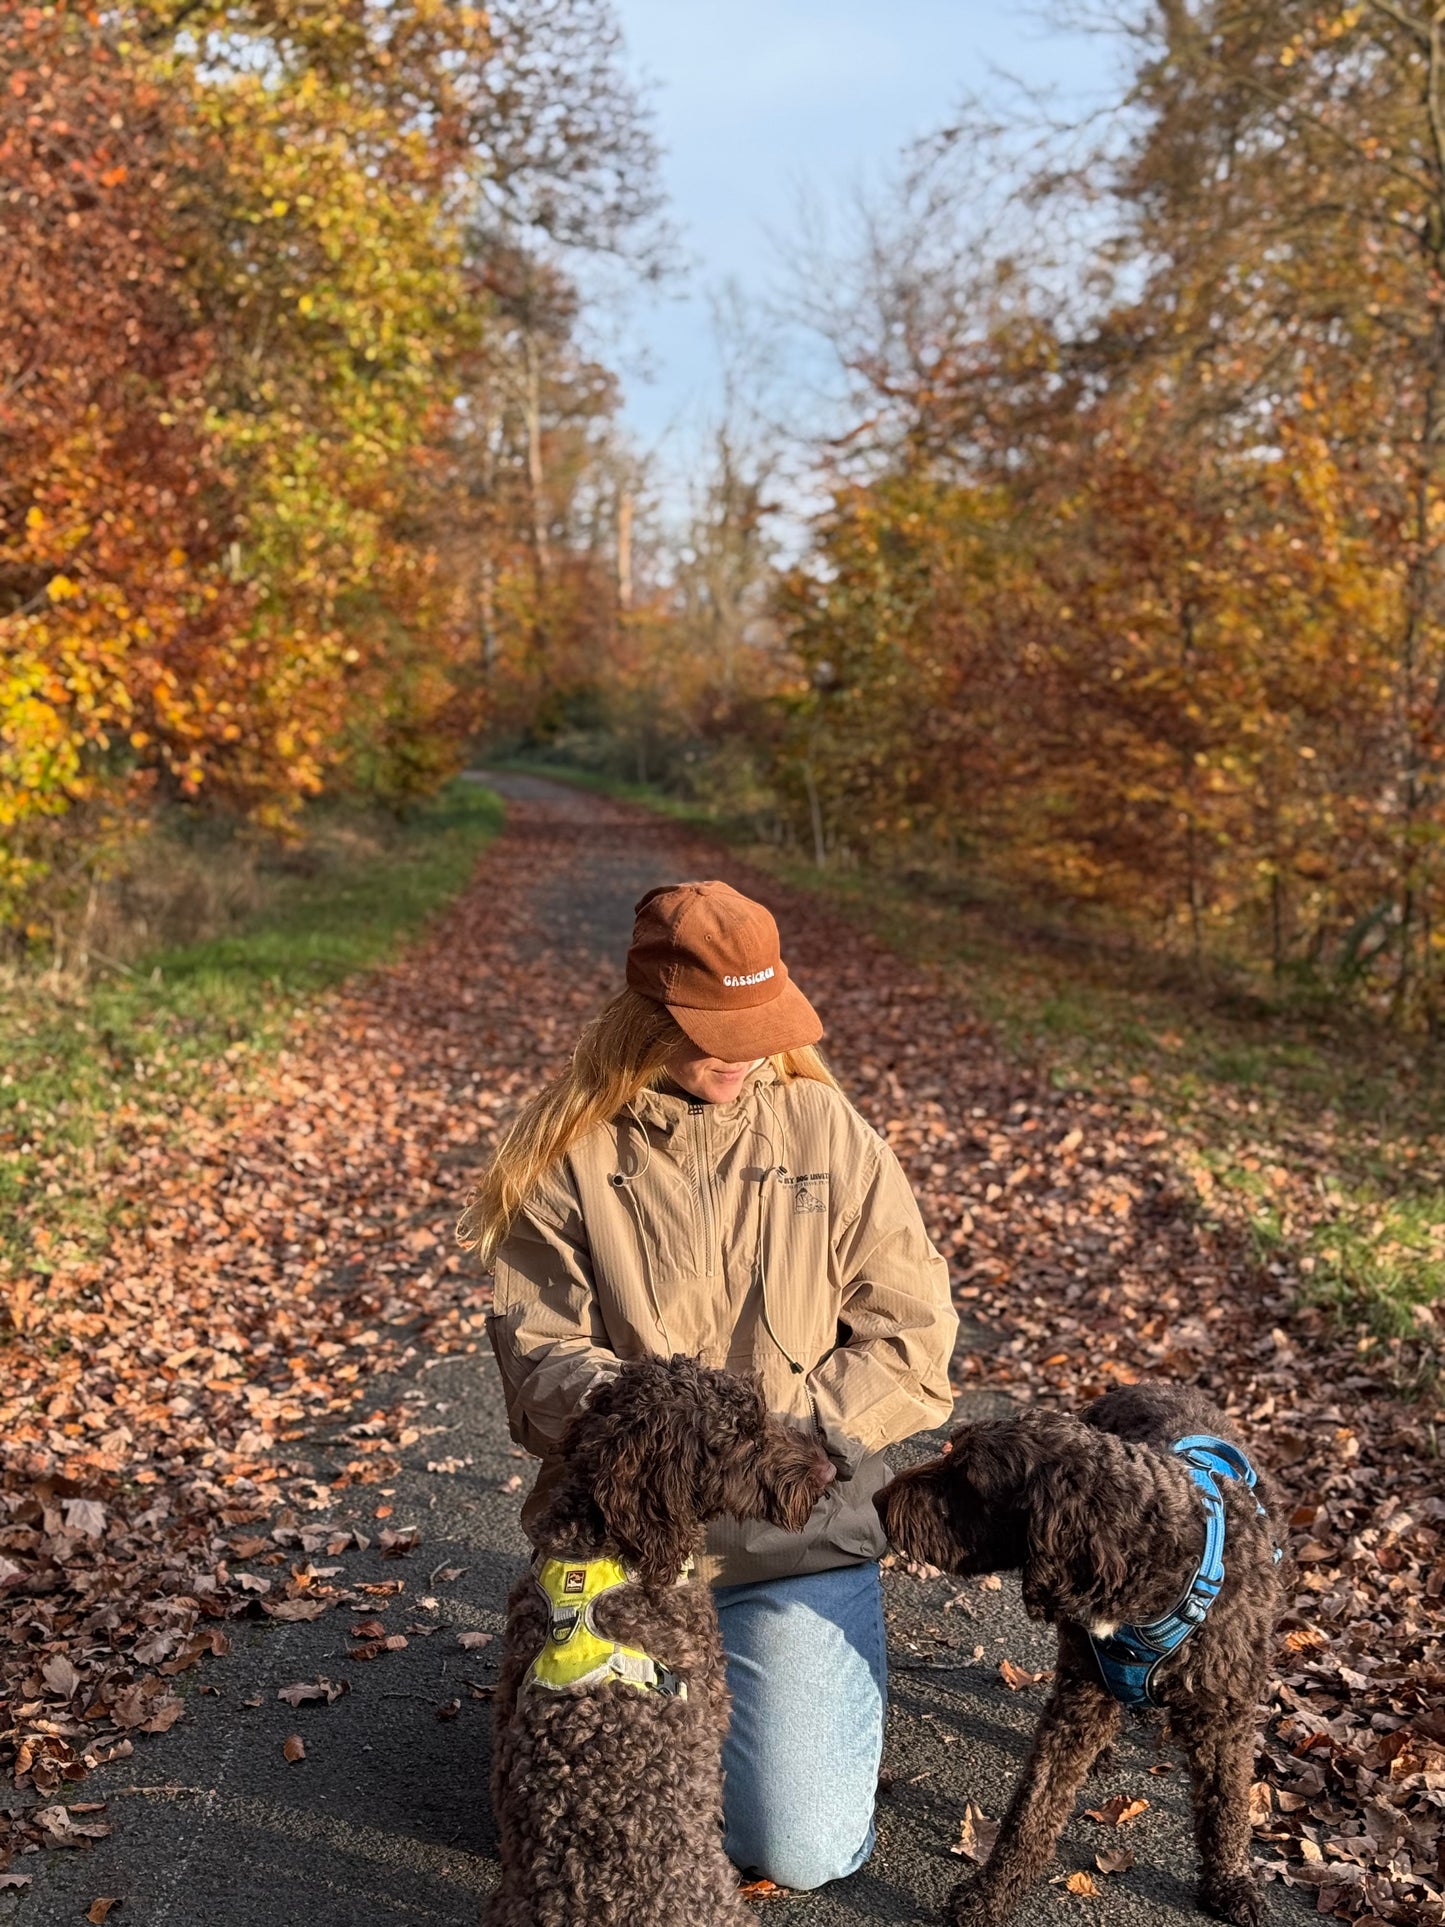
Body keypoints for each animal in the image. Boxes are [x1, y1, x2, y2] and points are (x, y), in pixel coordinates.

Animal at [878, 1387, 1287, 1927]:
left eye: (966, 1479)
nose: (880, 1502)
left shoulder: (1224, 1718)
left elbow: (1228, 1805)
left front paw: (1232, 1882)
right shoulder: (1078, 1700)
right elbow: (1035, 1806)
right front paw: (995, 1890)